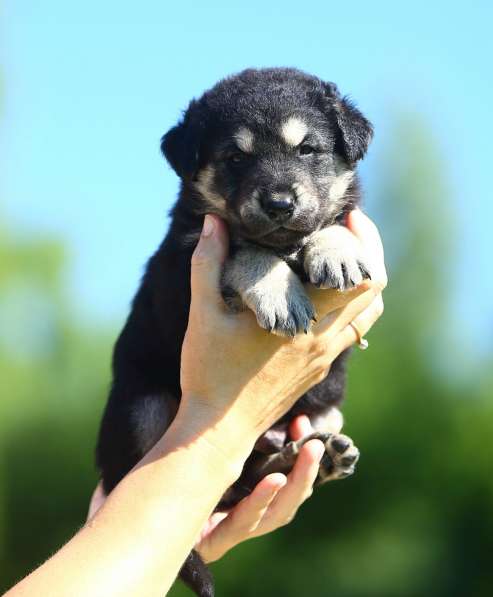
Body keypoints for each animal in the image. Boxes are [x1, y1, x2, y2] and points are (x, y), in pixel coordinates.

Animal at [96, 67, 372, 592]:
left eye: (308, 150)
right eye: (235, 157)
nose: (280, 203)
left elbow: (333, 222)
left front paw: (336, 251)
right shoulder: (185, 266)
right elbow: (247, 251)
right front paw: (278, 292)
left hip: (327, 413)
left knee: (248, 476)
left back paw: (314, 458)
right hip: (143, 406)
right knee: (218, 486)